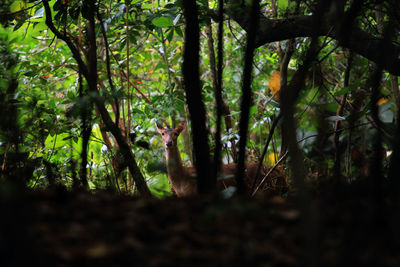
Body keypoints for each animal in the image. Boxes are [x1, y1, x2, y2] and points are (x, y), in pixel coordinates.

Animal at [155, 122, 286, 198]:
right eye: (162, 133)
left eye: (176, 133)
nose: (168, 143)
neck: (181, 181)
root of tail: (282, 175)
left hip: (266, 189)